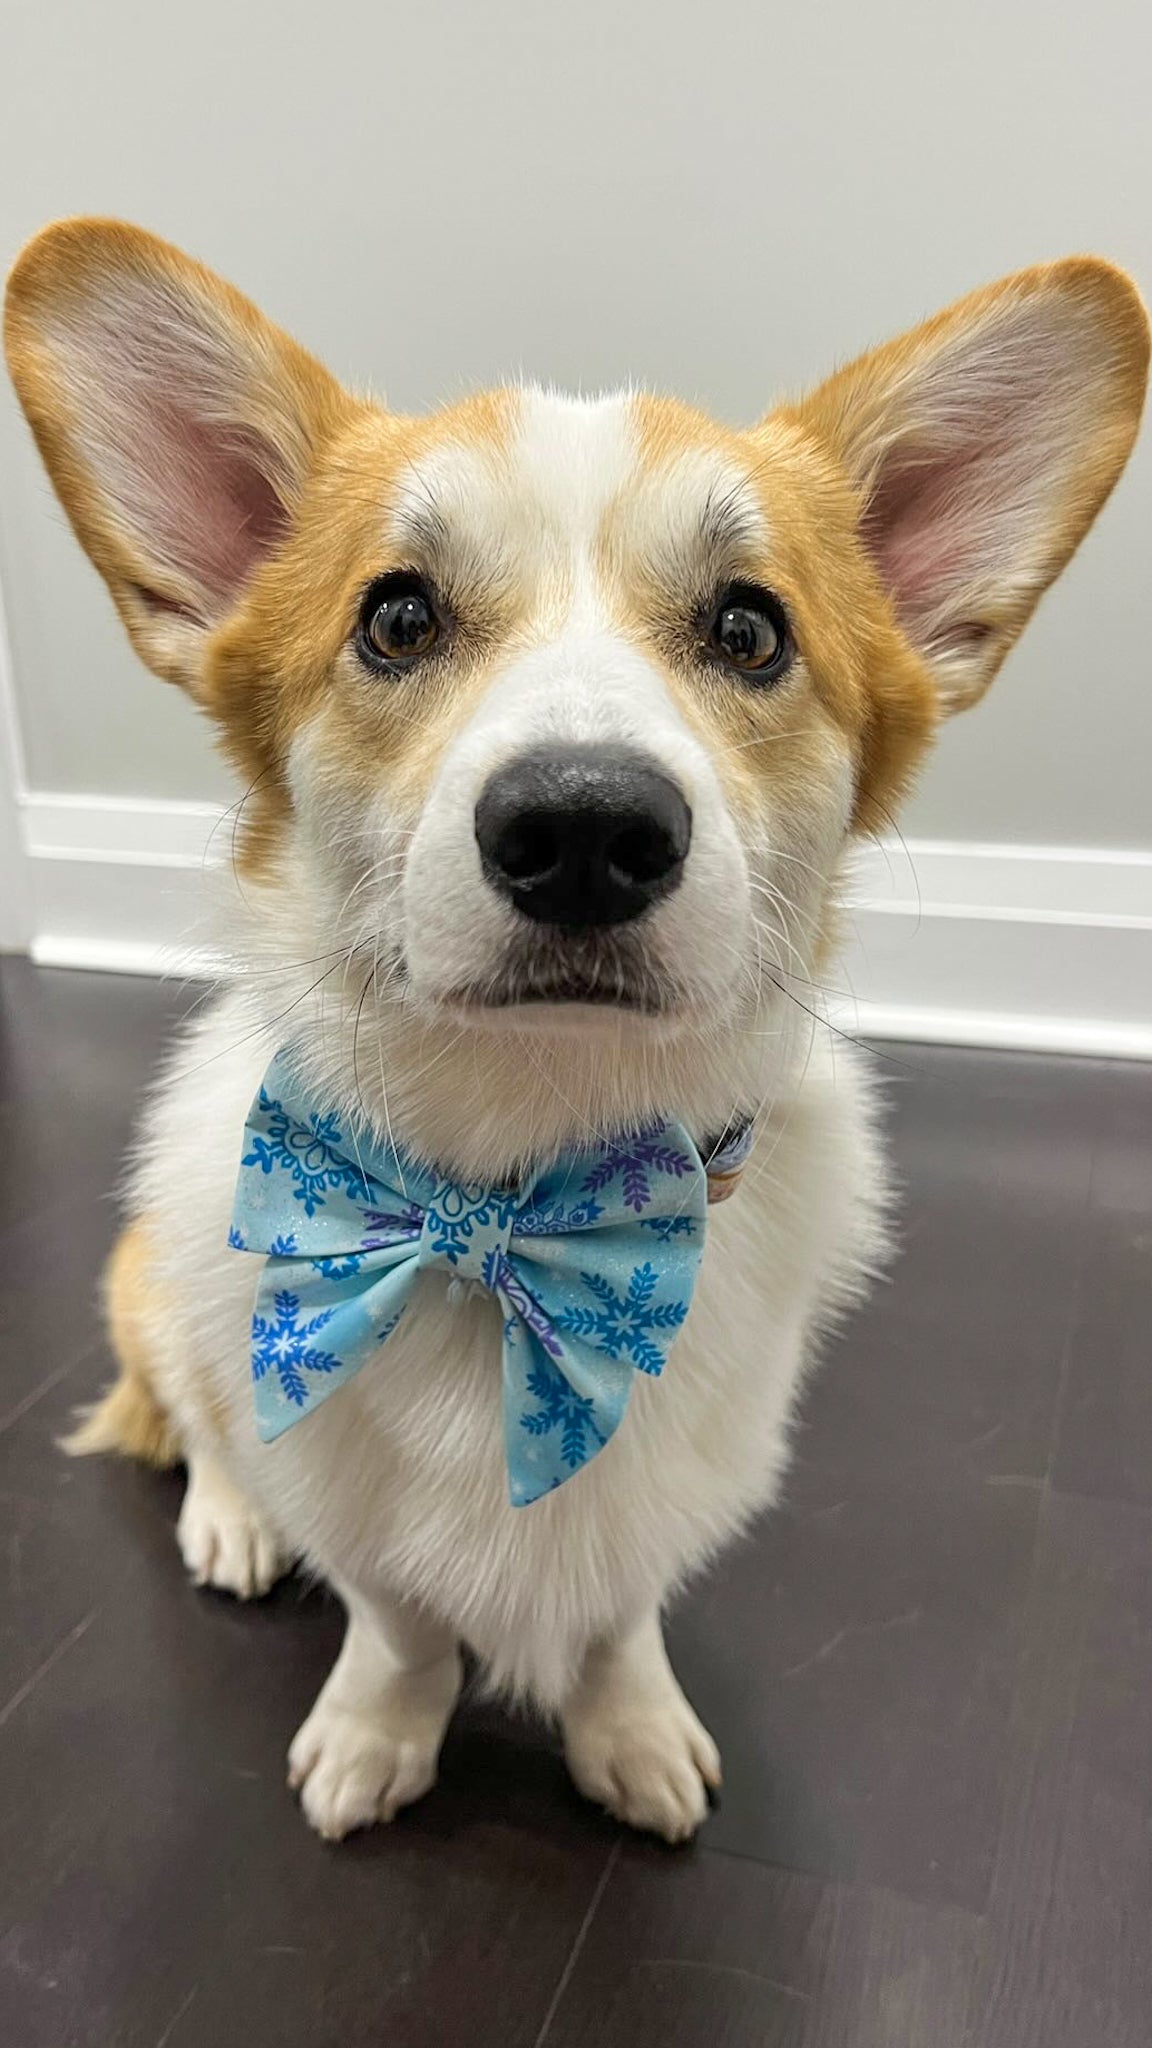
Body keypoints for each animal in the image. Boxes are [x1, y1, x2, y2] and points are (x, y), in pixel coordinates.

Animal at [6, 220, 1139, 1843]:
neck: (513, 1193)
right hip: (157, 1273)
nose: (587, 829)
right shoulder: (354, 1511)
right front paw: (375, 1736)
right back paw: (230, 1520)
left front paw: (632, 1733)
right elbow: (397, 1622)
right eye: (396, 616)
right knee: (203, 1415)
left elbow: (613, 1621)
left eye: (750, 628)